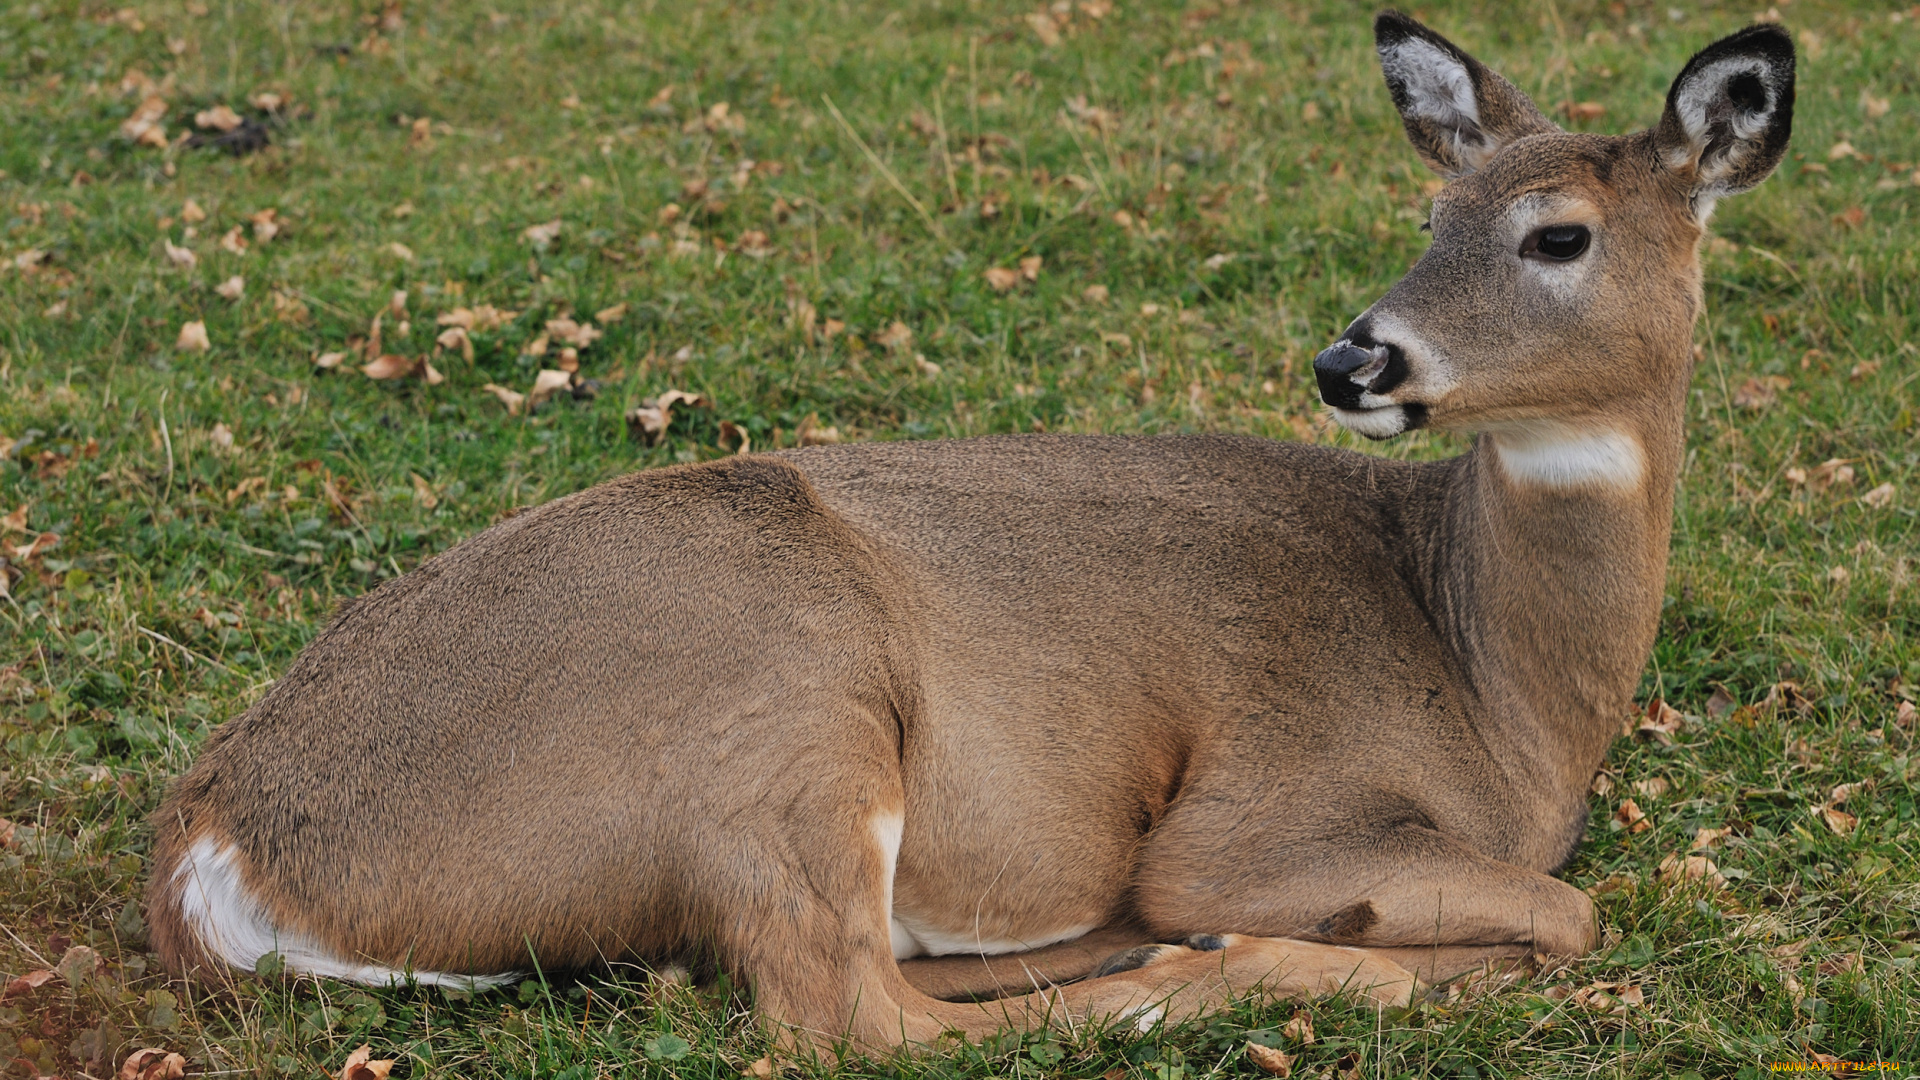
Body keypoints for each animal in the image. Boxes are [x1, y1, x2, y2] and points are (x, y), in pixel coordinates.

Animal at [149, 10, 1797, 1053]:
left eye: (1556, 233)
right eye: (1433, 214)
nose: (1354, 362)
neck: (1500, 689)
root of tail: (218, 843)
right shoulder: (1256, 810)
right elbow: (1568, 911)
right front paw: (1333, 947)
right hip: (781, 716)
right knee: (854, 1018)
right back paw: (1221, 967)